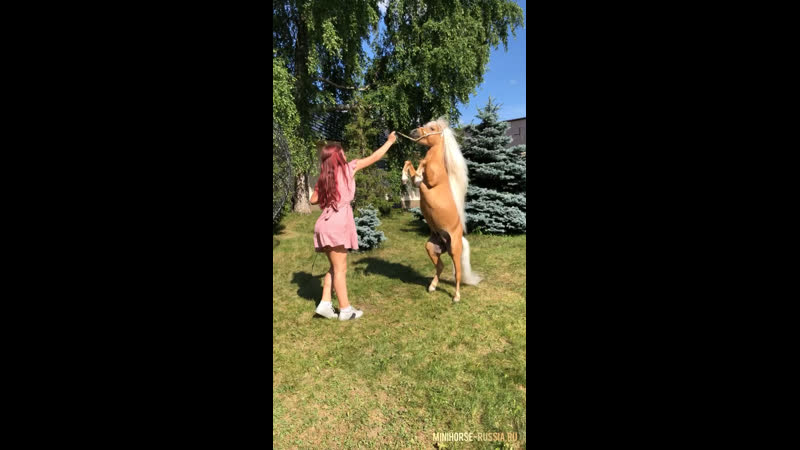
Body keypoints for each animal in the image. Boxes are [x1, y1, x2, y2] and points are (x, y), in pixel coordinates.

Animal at [401, 118, 482, 302]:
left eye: (432, 128)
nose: (413, 132)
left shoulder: (428, 183)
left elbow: (421, 165)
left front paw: (413, 173)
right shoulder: (418, 182)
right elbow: (409, 163)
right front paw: (404, 178)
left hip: (455, 252)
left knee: (457, 273)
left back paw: (456, 297)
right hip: (431, 248)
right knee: (441, 266)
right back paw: (432, 287)